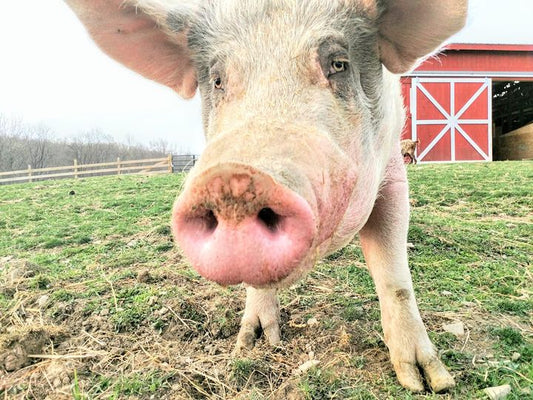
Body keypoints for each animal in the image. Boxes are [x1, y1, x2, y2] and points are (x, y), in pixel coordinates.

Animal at [64, 0, 466, 394]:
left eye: (339, 63)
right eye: (218, 79)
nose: (233, 181)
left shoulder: (393, 168)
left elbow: (393, 273)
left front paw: (430, 382)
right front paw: (253, 344)